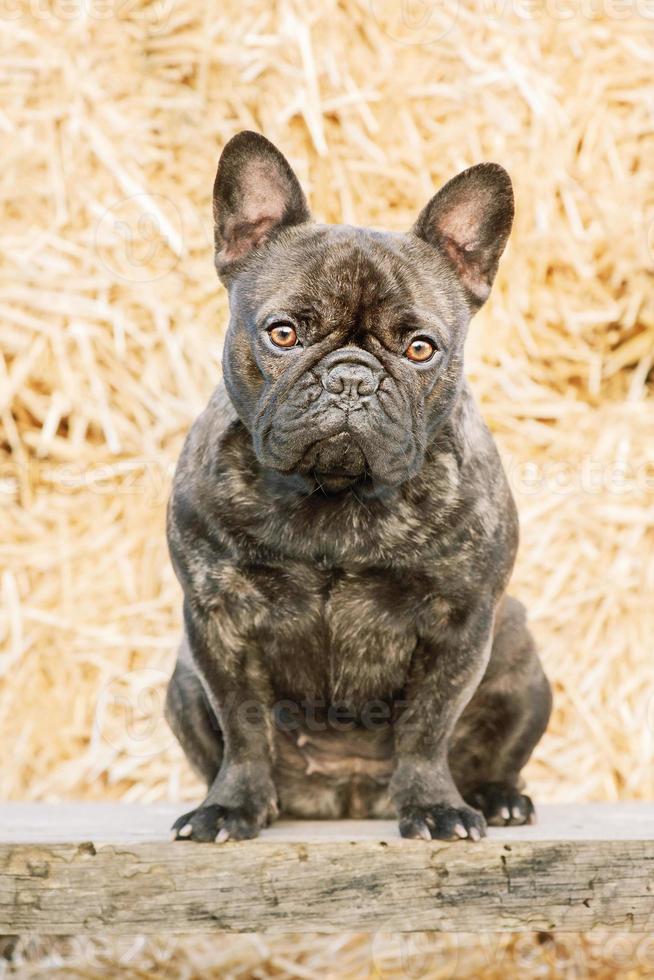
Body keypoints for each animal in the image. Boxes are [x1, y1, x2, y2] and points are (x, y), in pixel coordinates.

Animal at [165, 130, 552, 844]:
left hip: (519, 655)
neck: (334, 494)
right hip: (181, 676)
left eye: (422, 348)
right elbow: (243, 725)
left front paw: (434, 805)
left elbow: (427, 724)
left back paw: (495, 796)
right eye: (283, 333)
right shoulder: (217, 620)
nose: (352, 377)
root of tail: (348, 794)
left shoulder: (459, 623)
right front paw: (231, 807)